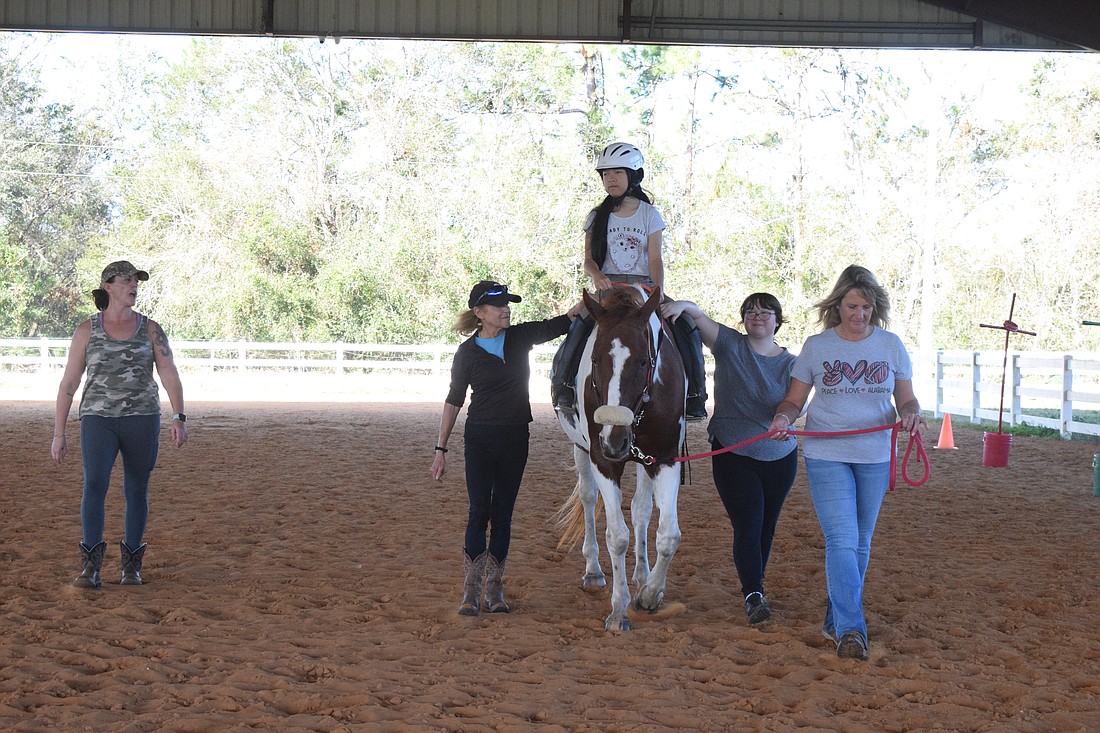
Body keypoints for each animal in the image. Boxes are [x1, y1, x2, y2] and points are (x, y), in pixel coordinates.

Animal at [558, 283, 686, 629]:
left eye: (643, 362)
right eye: (595, 359)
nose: (613, 440)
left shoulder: (665, 458)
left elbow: (668, 535)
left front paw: (649, 595)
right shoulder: (603, 461)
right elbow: (617, 536)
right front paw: (618, 610)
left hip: (643, 461)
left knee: (641, 510)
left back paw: (642, 576)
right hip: (582, 451)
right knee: (588, 500)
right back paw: (593, 571)